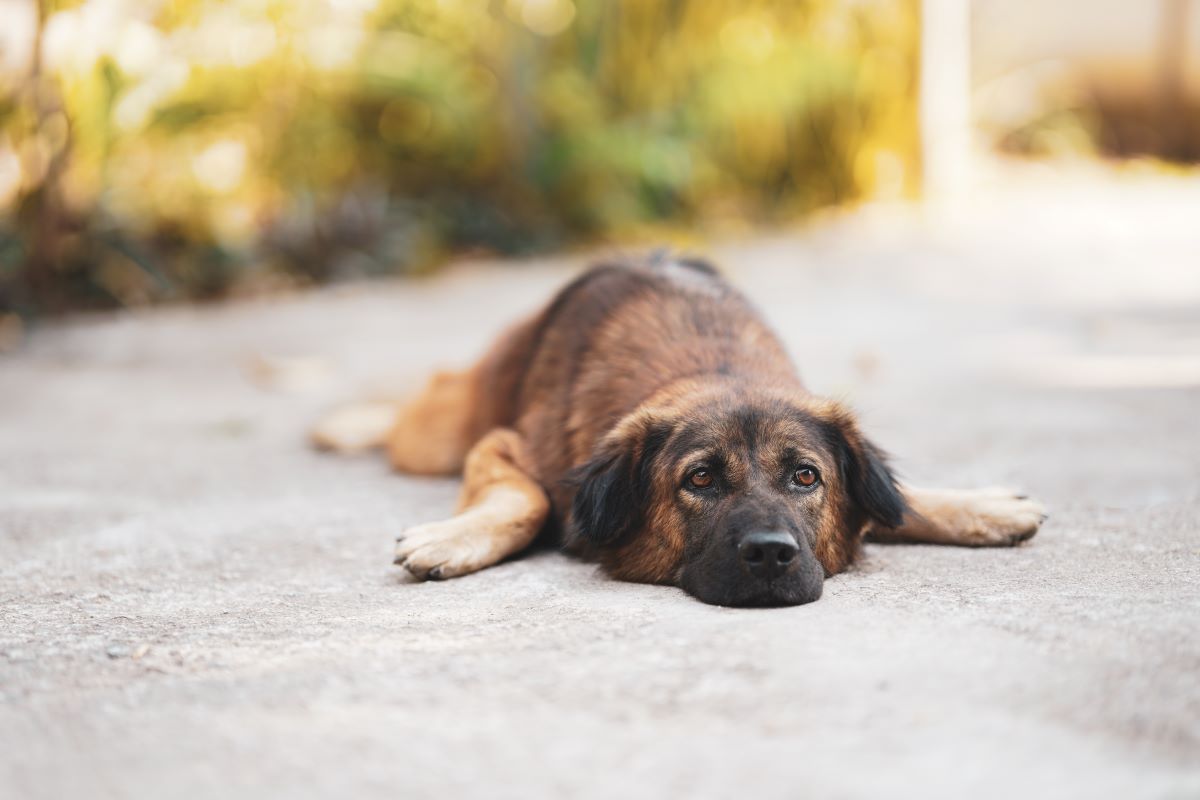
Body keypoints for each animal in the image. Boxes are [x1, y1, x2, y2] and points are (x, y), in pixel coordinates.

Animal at [314, 256, 1046, 606]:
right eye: (700, 479)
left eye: (805, 476)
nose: (771, 555)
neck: (712, 367)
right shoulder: (504, 445)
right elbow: (527, 499)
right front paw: (455, 538)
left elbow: (896, 499)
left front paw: (979, 507)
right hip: (444, 427)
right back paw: (344, 422)